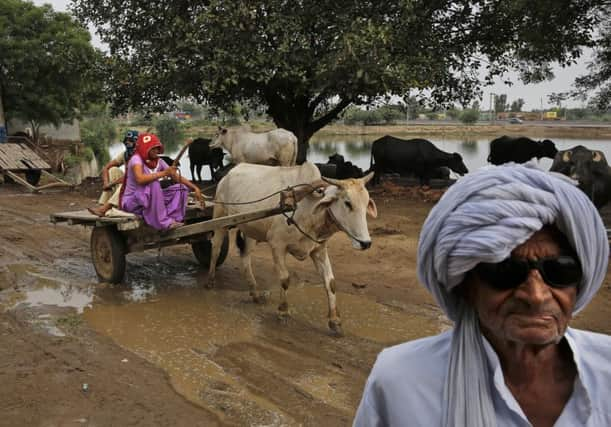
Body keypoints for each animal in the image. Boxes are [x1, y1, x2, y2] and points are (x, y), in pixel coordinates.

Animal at [207, 162, 378, 336]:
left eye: (366, 203)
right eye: (347, 203)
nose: (365, 243)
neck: (307, 207)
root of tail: (230, 172)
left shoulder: (319, 249)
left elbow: (330, 282)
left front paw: (335, 321)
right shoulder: (277, 245)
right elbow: (285, 279)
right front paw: (283, 311)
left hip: (250, 230)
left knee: (245, 257)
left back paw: (255, 293)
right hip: (220, 218)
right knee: (215, 248)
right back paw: (210, 280)